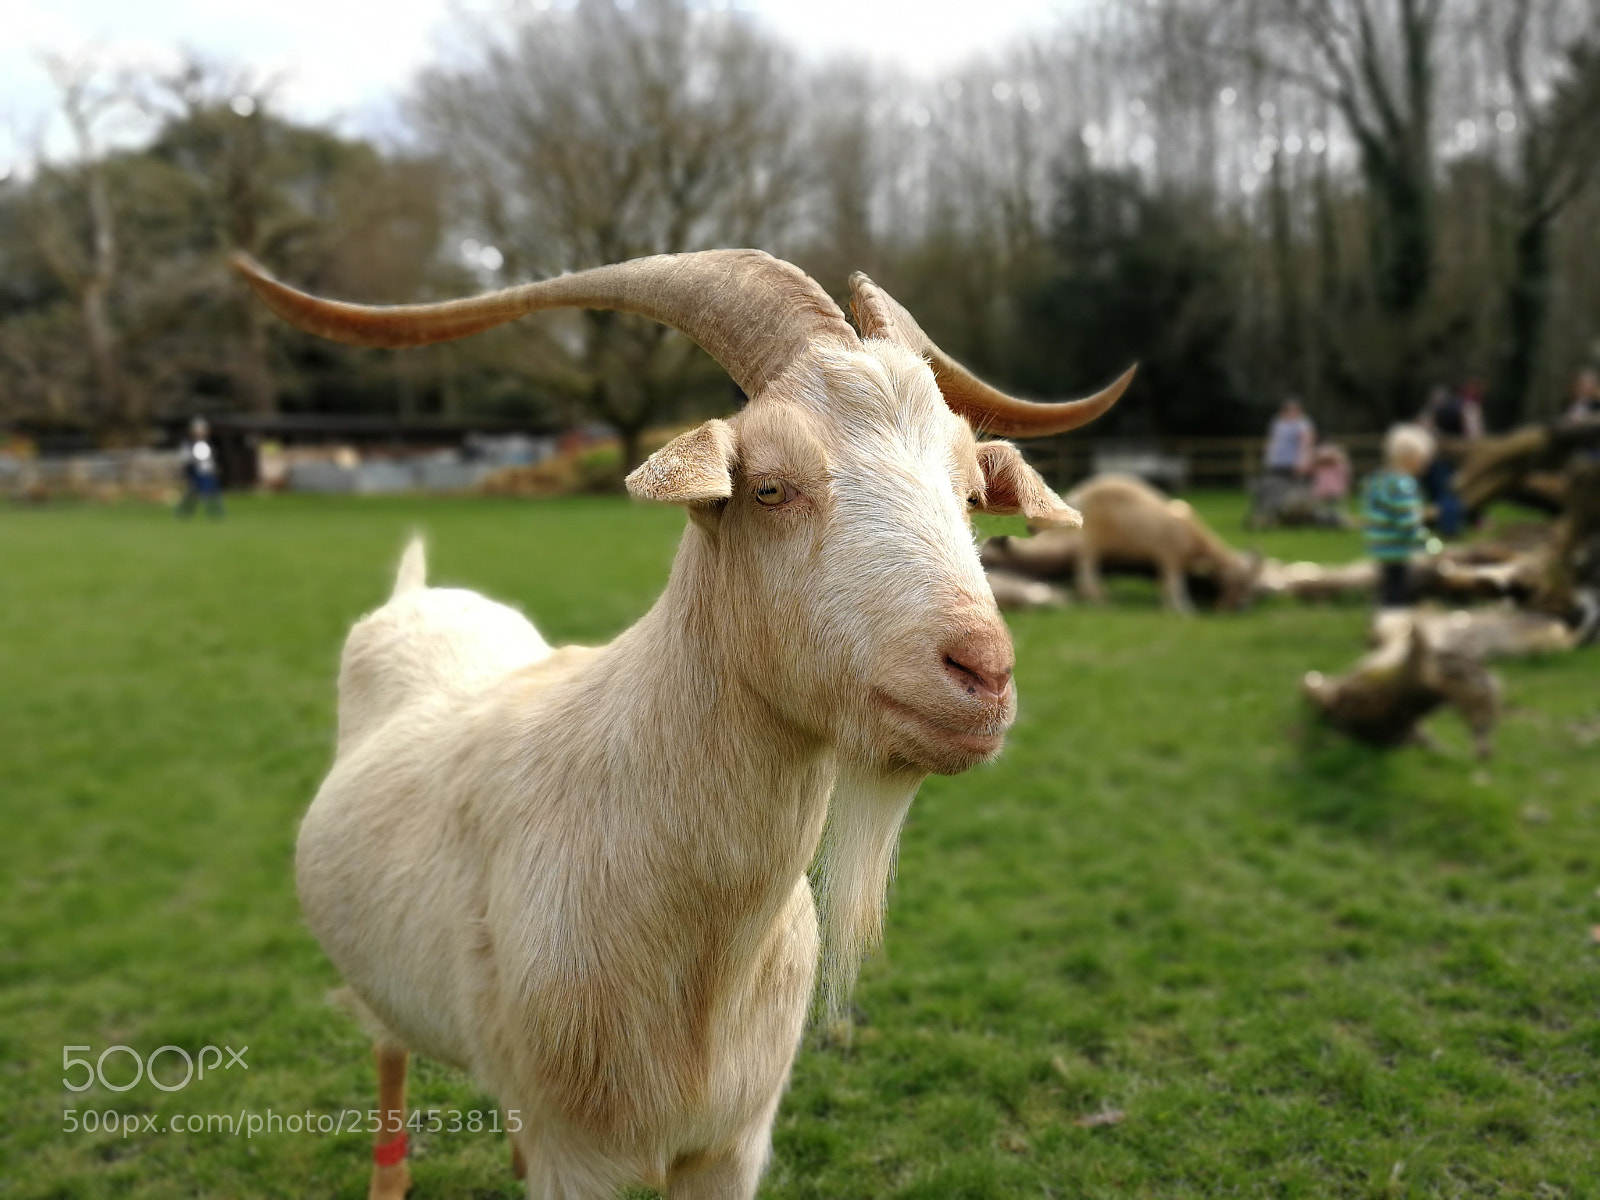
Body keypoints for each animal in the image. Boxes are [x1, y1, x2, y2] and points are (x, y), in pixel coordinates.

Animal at [234, 250, 1130, 1200]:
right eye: (769, 487)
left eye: (967, 493)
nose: (982, 672)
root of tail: (417, 592)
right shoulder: (575, 1155)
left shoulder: (731, 1144)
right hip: (378, 994)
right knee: (388, 1060)